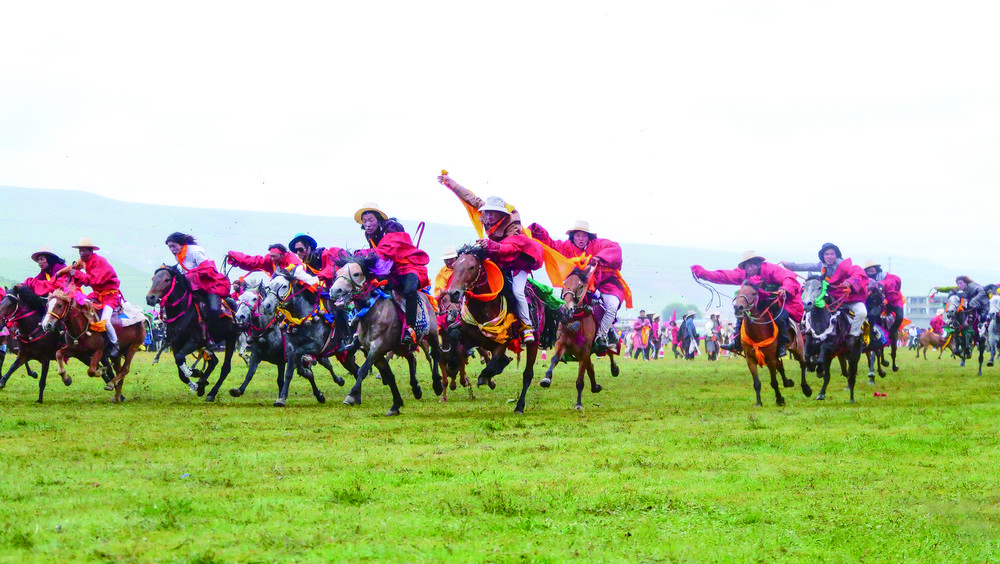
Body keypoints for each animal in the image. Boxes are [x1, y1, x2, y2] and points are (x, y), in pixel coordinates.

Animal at [145, 266, 240, 401]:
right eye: (153, 279)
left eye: (167, 279)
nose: (150, 298)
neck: (183, 312)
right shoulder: (176, 344)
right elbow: (180, 369)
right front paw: (196, 381)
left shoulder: (193, 342)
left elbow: (181, 360)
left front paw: (193, 372)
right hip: (205, 345)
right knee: (213, 362)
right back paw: (201, 385)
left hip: (231, 338)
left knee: (225, 367)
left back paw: (211, 393)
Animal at [256, 271, 357, 406]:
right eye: (270, 286)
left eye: (284, 286)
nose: (267, 306)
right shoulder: (290, 348)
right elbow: (289, 372)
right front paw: (282, 398)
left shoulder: (316, 346)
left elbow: (300, 355)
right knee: (355, 369)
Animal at [327, 254, 443, 416]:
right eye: (337, 273)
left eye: (356, 274)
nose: (334, 291)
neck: (372, 313)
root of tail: (425, 295)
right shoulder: (375, 352)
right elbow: (389, 376)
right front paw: (396, 404)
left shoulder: (377, 348)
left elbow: (363, 369)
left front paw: (351, 395)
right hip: (401, 346)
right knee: (412, 359)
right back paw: (416, 388)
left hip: (431, 334)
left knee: (435, 354)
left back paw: (437, 384)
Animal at [440, 244, 557, 414]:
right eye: (454, 267)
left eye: (471, 267)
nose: (454, 293)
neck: (484, 309)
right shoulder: (471, 338)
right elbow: (454, 336)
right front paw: (453, 367)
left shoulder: (502, 341)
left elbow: (491, 365)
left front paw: (486, 376)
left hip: (533, 343)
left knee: (527, 374)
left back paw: (519, 406)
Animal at [538, 265, 621, 410]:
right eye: (564, 284)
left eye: (581, 286)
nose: (567, 308)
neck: (576, 323)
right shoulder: (561, 344)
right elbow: (554, 359)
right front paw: (546, 379)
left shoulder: (584, 351)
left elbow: (580, 379)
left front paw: (578, 404)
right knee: (591, 366)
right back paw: (595, 386)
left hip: (597, 346)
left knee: (609, 352)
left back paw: (614, 369)